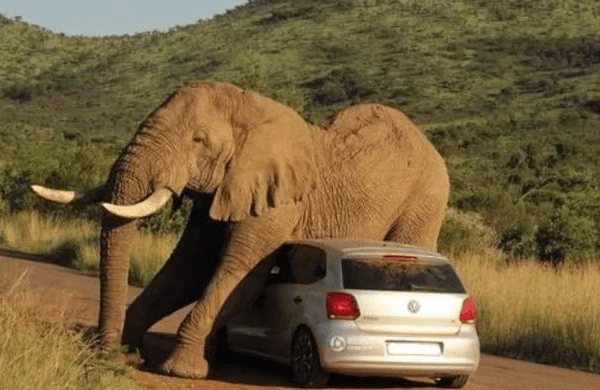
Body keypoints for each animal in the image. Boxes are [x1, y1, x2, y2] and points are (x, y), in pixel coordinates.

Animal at [30, 81, 448, 378]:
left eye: (198, 140)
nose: (107, 356)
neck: (250, 109)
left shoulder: (278, 203)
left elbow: (239, 274)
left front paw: (181, 370)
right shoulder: (222, 190)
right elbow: (188, 270)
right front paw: (131, 352)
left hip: (425, 199)